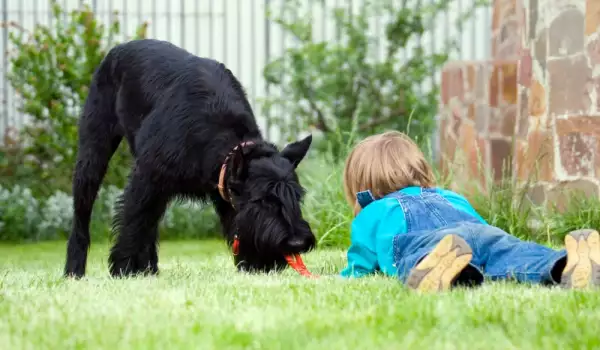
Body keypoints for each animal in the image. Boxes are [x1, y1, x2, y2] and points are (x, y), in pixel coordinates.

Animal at [65, 39, 316, 278]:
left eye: (297, 196)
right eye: (263, 200)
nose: (297, 242)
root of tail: (117, 49)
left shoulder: (224, 191)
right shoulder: (146, 179)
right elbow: (133, 221)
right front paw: (124, 268)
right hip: (93, 154)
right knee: (83, 214)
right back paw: (74, 269)